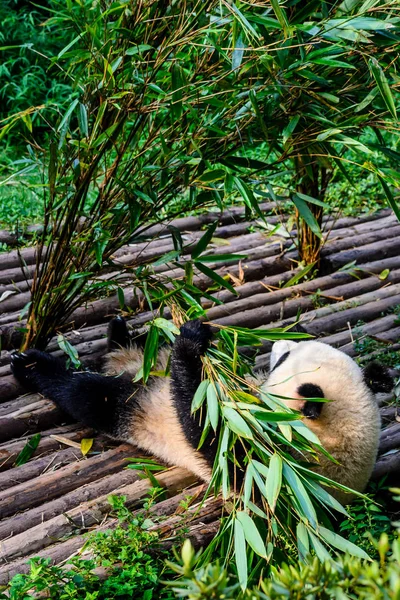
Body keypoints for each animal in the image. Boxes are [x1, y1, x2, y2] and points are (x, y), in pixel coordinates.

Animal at [10, 316, 392, 504]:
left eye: (284, 359)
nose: (280, 343)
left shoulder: (269, 469)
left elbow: (206, 427)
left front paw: (191, 343)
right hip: (144, 366)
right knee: (138, 351)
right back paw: (120, 331)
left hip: (132, 406)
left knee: (89, 395)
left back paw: (32, 367)